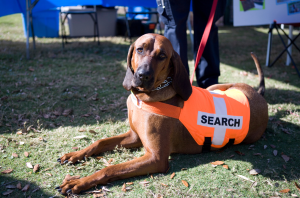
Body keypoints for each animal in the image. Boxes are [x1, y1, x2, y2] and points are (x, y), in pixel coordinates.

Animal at [57, 33, 268, 194]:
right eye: (140, 49)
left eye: (162, 56)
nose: (143, 75)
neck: (145, 98)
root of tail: (259, 95)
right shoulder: (134, 137)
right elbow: (100, 142)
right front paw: (75, 154)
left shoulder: (155, 158)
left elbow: (111, 168)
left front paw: (79, 182)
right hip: (215, 87)